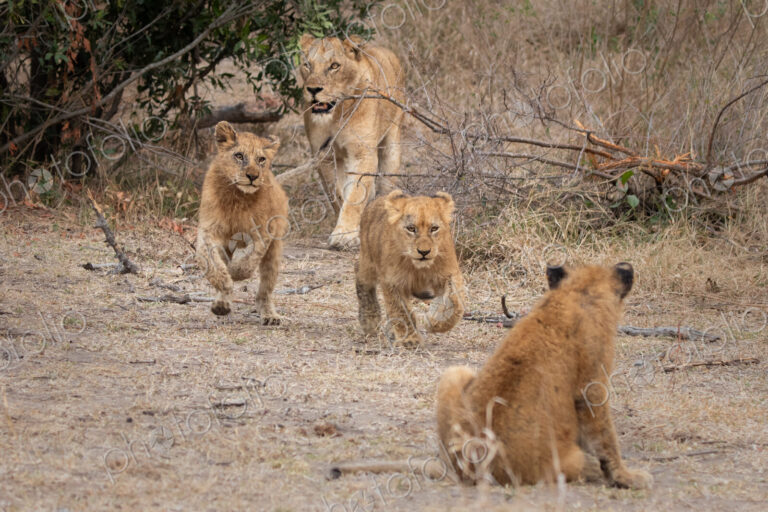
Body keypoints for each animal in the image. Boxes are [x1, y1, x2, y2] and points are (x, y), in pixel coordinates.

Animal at [196, 121, 289, 324]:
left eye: (261, 159)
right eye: (239, 156)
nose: (252, 176)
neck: (237, 197)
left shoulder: (263, 231)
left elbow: (250, 260)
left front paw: (235, 272)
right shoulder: (209, 230)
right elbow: (212, 262)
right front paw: (223, 281)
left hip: (274, 252)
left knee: (265, 290)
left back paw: (269, 315)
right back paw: (221, 305)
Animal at [298, 34, 405, 250]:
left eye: (334, 66)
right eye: (307, 65)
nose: (313, 89)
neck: (338, 112)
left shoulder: (362, 153)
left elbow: (355, 194)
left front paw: (345, 235)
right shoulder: (323, 155)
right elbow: (338, 193)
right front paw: (348, 229)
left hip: (392, 144)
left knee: (386, 185)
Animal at [355, 190, 465, 347]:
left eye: (434, 228)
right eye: (411, 228)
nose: (424, 252)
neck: (419, 268)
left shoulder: (449, 274)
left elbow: (456, 303)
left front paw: (433, 322)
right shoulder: (392, 281)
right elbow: (401, 310)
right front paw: (410, 339)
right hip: (368, 260)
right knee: (360, 275)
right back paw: (370, 321)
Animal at [436, 263, 653, 490]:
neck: (574, 292)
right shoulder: (592, 388)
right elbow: (606, 437)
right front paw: (626, 476)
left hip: (455, 372)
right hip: (566, 462)